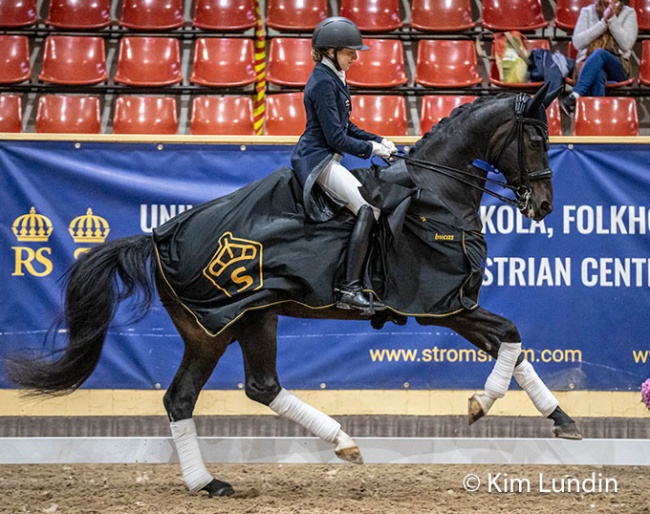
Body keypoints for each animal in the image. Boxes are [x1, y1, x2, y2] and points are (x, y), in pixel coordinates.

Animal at [5, 87, 580, 496]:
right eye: (536, 139)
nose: (544, 205)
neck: (434, 195)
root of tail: (158, 235)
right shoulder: (441, 307)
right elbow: (511, 336)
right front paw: (481, 404)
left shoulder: (454, 305)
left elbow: (514, 346)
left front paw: (562, 421)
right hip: (213, 329)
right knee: (186, 397)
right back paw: (248, 470)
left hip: (253, 318)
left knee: (251, 388)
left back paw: (256, 469)